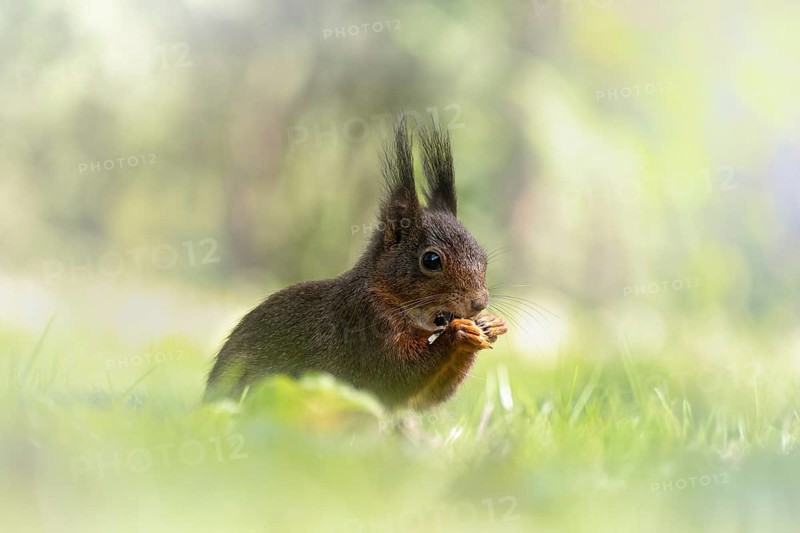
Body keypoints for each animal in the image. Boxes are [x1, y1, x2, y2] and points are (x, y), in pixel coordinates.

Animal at [204, 116, 508, 410]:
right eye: (431, 260)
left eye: (482, 256)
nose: (479, 302)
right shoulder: (364, 323)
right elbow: (400, 375)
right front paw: (459, 333)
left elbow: (427, 397)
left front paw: (489, 325)